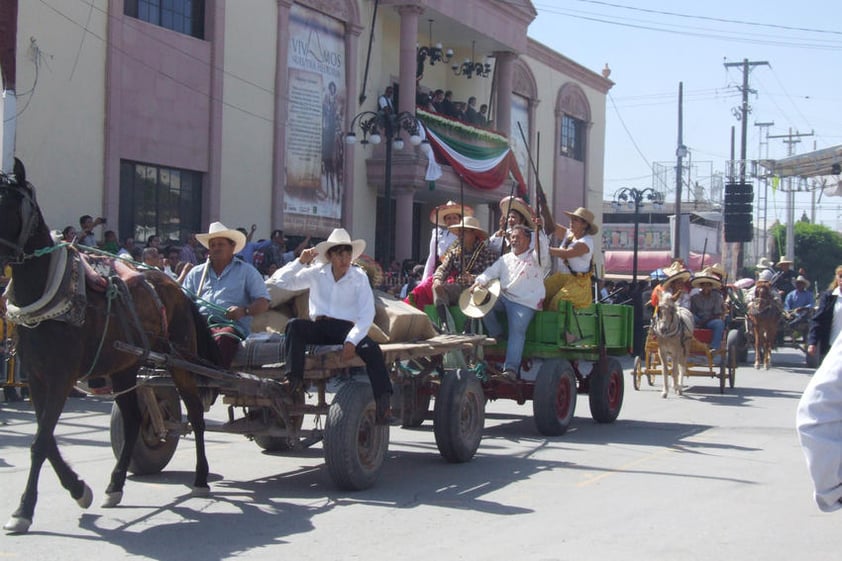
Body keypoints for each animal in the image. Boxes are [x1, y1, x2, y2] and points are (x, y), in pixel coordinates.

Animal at [1, 160, 218, 532]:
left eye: (10, 203)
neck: (51, 292)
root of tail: (176, 287)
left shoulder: (61, 378)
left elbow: (41, 442)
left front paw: (24, 509)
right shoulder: (36, 378)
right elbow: (47, 439)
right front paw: (78, 490)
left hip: (179, 363)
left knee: (196, 416)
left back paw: (201, 479)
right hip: (124, 367)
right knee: (132, 420)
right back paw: (115, 485)